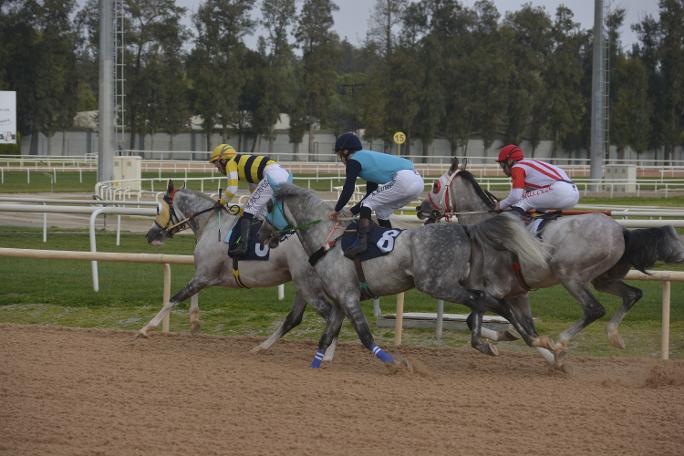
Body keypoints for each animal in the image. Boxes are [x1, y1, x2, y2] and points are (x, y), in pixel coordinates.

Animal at [260, 182, 552, 366]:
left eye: (267, 209)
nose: (262, 234)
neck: (328, 240)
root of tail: (465, 229)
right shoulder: (341, 300)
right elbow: (325, 337)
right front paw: (315, 366)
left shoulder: (348, 298)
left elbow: (365, 336)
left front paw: (396, 363)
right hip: (457, 282)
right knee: (493, 302)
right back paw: (521, 340)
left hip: (437, 284)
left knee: (483, 301)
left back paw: (508, 341)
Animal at [414, 159, 684, 354]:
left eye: (435, 186)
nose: (419, 209)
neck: (483, 225)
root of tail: (622, 231)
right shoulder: (518, 292)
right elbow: (522, 324)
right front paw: (512, 336)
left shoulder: (495, 289)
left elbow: (474, 319)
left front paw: (503, 340)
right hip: (603, 278)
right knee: (632, 294)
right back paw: (613, 335)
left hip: (570, 275)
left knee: (594, 309)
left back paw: (562, 340)